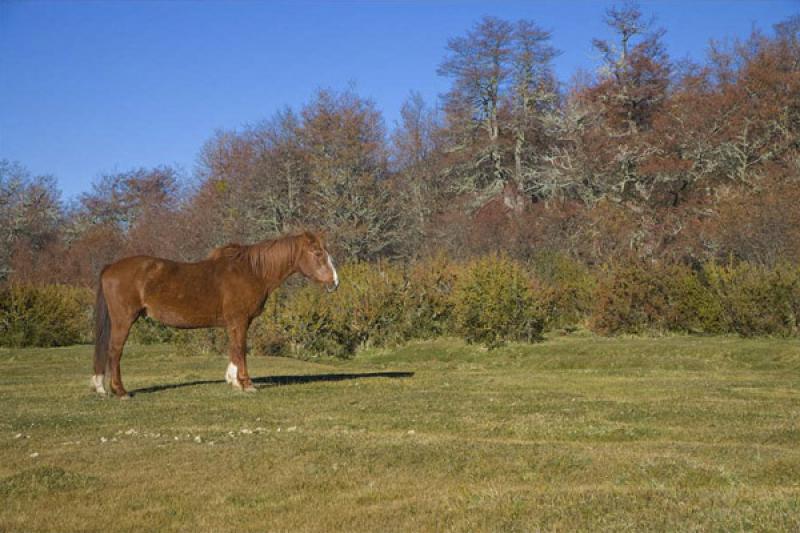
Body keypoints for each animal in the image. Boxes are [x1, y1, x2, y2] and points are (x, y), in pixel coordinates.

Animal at [92, 231, 340, 396]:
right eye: (318, 253)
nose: (335, 283)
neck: (251, 271)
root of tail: (110, 267)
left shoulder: (234, 322)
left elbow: (234, 349)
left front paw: (233, 381)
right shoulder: (240, 320)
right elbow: (241, 349)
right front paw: (247, 384)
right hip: (124, 321)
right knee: (114, 352)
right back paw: (120, 391)